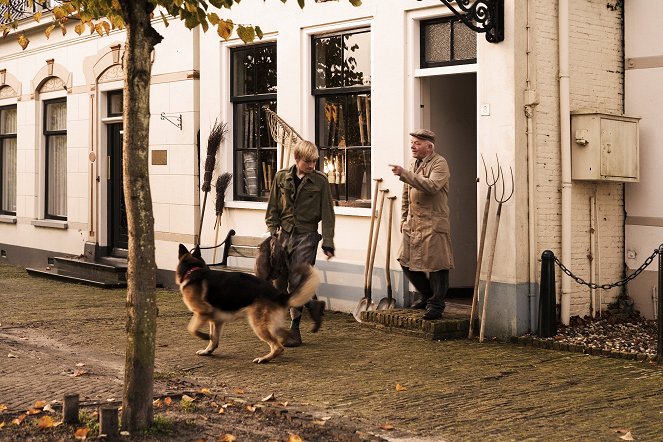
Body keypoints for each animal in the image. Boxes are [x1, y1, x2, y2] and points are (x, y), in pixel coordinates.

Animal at [176, 245, 322, 362]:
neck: (193, 270)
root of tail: (279, 295)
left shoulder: (202, 312)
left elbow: (192, 329)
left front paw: (204, 336)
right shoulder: (216, 320)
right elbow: (214, 339)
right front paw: (208, 350)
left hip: (257, 325)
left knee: (277, 347)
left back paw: (264, 359)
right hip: (270, 325)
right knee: (283, 335)